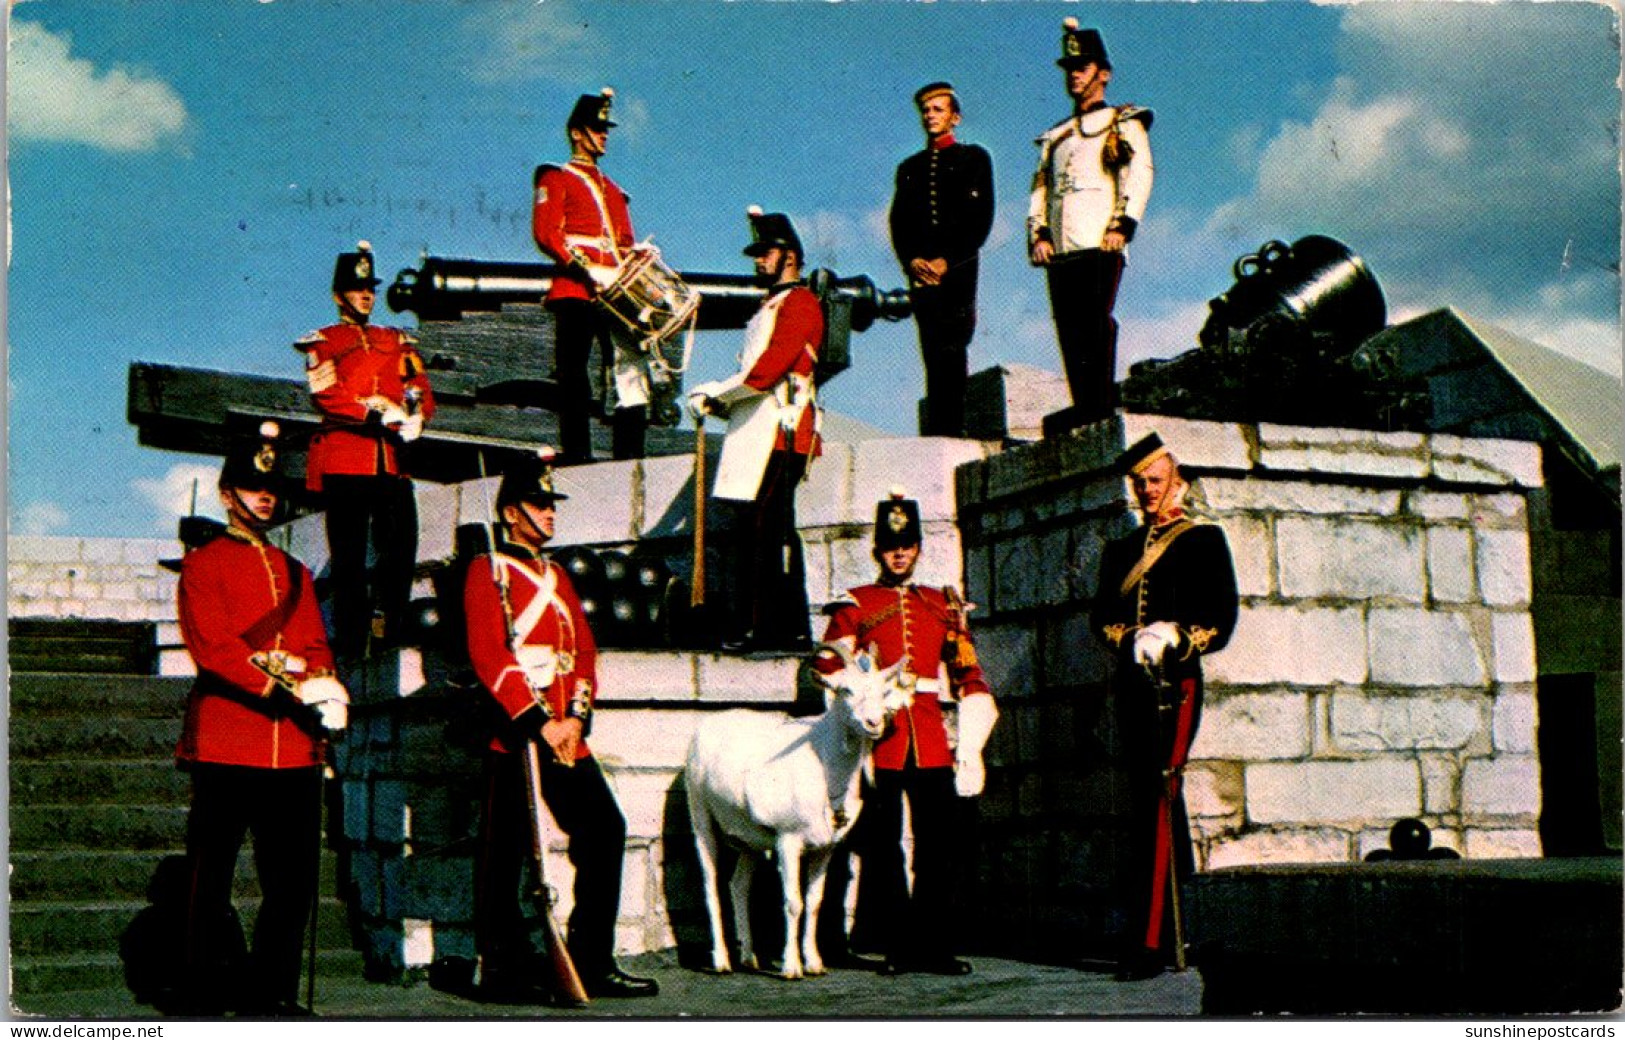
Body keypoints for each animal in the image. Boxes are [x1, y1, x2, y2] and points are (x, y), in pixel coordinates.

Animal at [685, 646, 916, 981]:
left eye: (883, 691)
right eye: (845, 690)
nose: (873, 723)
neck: (822, 765)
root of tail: (703, 730)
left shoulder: (825, 848)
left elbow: (814, 902)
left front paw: (815, 963)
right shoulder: (788, 841)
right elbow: (793, 902)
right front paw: (792, 967)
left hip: (749, 840)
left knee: (739, 885)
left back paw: (749, 958)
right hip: (701, 816)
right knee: (710, 884)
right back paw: (722, 961)